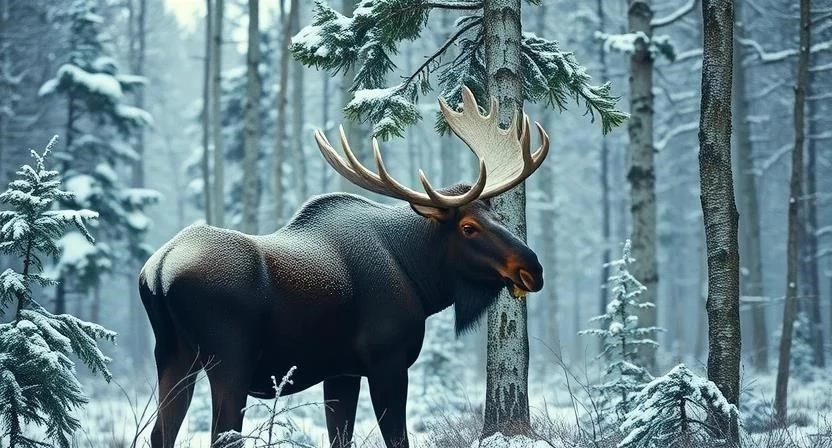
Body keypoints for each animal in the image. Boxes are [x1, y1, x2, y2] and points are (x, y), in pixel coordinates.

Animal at [139, 86, 550, 448]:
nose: (533, 268)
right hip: (228, 358)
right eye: (468, 227)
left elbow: (341, 436)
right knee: (222, 434)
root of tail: (159, 270)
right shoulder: (388, 361)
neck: (418, 278)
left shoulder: (341, 372)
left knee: (160, 433)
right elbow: (397, 439)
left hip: (172, 354)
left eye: (499, 215)